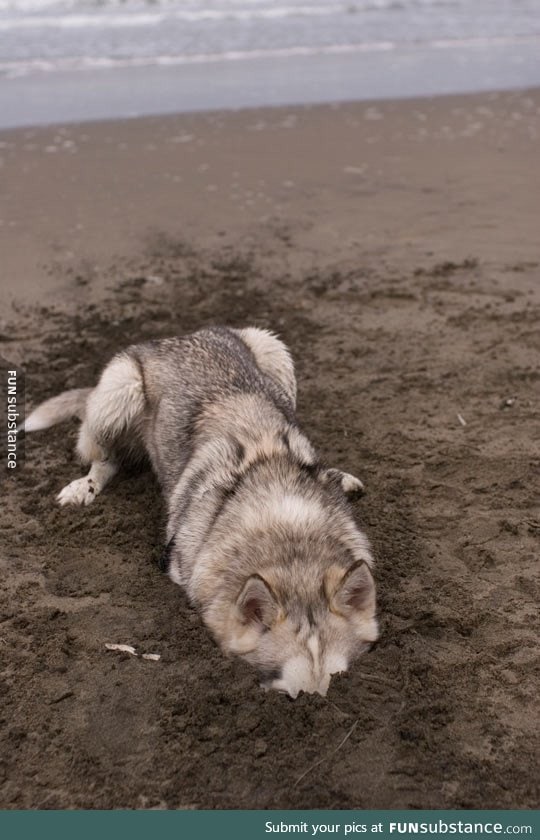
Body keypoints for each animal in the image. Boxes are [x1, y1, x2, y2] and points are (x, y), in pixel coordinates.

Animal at [25, 328, 378, 696]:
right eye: (290, 697)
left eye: (338, 686)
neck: (287, 533)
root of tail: (182, 335)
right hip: (117, 394)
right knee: (105, 459)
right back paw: (84, 487)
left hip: (273, 352)